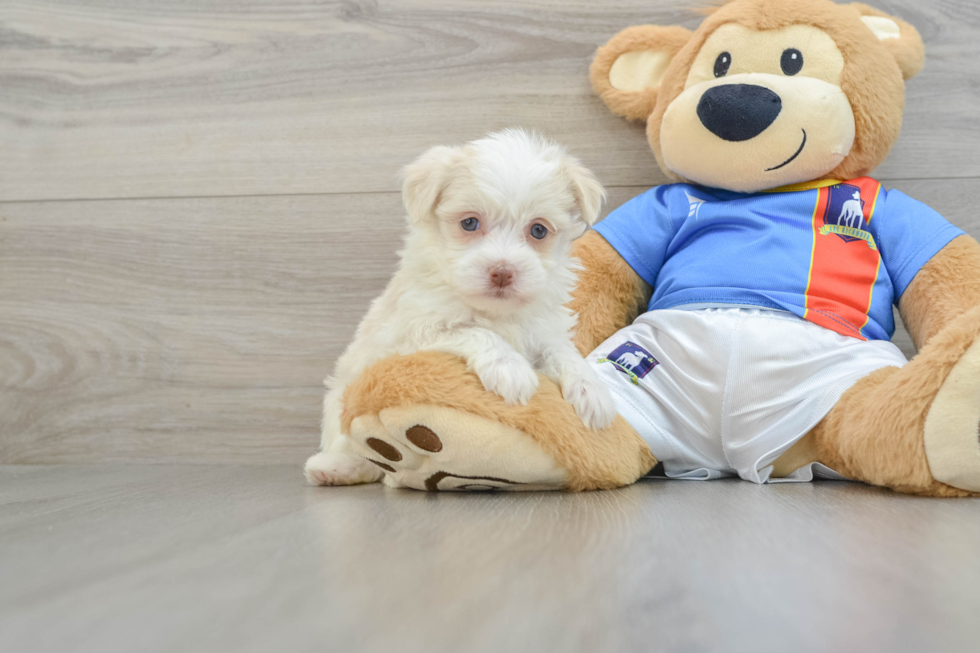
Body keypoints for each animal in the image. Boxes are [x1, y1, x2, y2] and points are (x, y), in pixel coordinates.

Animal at [302, 129, 616, 484]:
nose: (502, 271)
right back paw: (332, 467)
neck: (495, 311)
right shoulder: (416, 330)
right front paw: (511, 369)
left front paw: (592, 390)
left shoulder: (544, 329)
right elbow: (475, 331)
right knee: (364, 457)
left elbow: (564, 353)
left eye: (538, 230)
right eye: (469, 223)